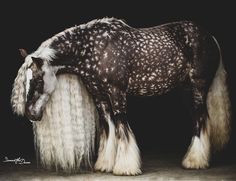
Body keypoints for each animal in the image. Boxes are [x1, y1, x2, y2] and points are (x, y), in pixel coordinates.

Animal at [10, 17, 230, 175]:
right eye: (25, 82)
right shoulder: (99, 96)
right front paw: (105, 164)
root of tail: (210, 37)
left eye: (37, 81)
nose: (31, 114)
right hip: (186, 91)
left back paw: (195, 161)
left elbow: (121, 126)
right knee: (197, 119)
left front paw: (125, 167)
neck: (93, 48)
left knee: (201, 120)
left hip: (198, 88)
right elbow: (108, 128)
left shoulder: (117, 93)